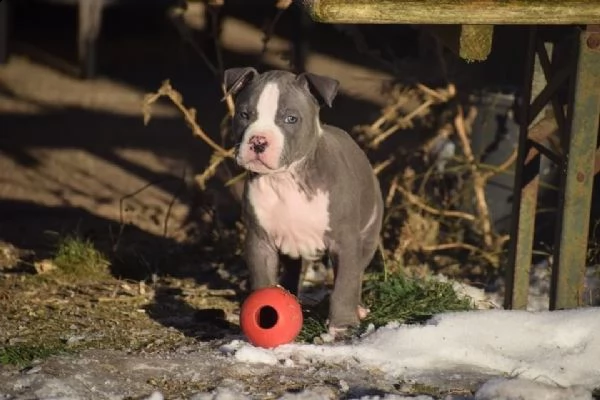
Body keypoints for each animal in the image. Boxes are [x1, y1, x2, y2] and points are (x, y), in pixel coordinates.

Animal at [225, 68, 384, 334]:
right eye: (244, 115)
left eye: (291, 119)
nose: (258, 141)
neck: (285, 179)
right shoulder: (259, 241)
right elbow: (262, 279)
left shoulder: (345, 242)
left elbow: (345, 284)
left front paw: (342, 325)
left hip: (369, 234)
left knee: (358, 272)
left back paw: (357, 309)